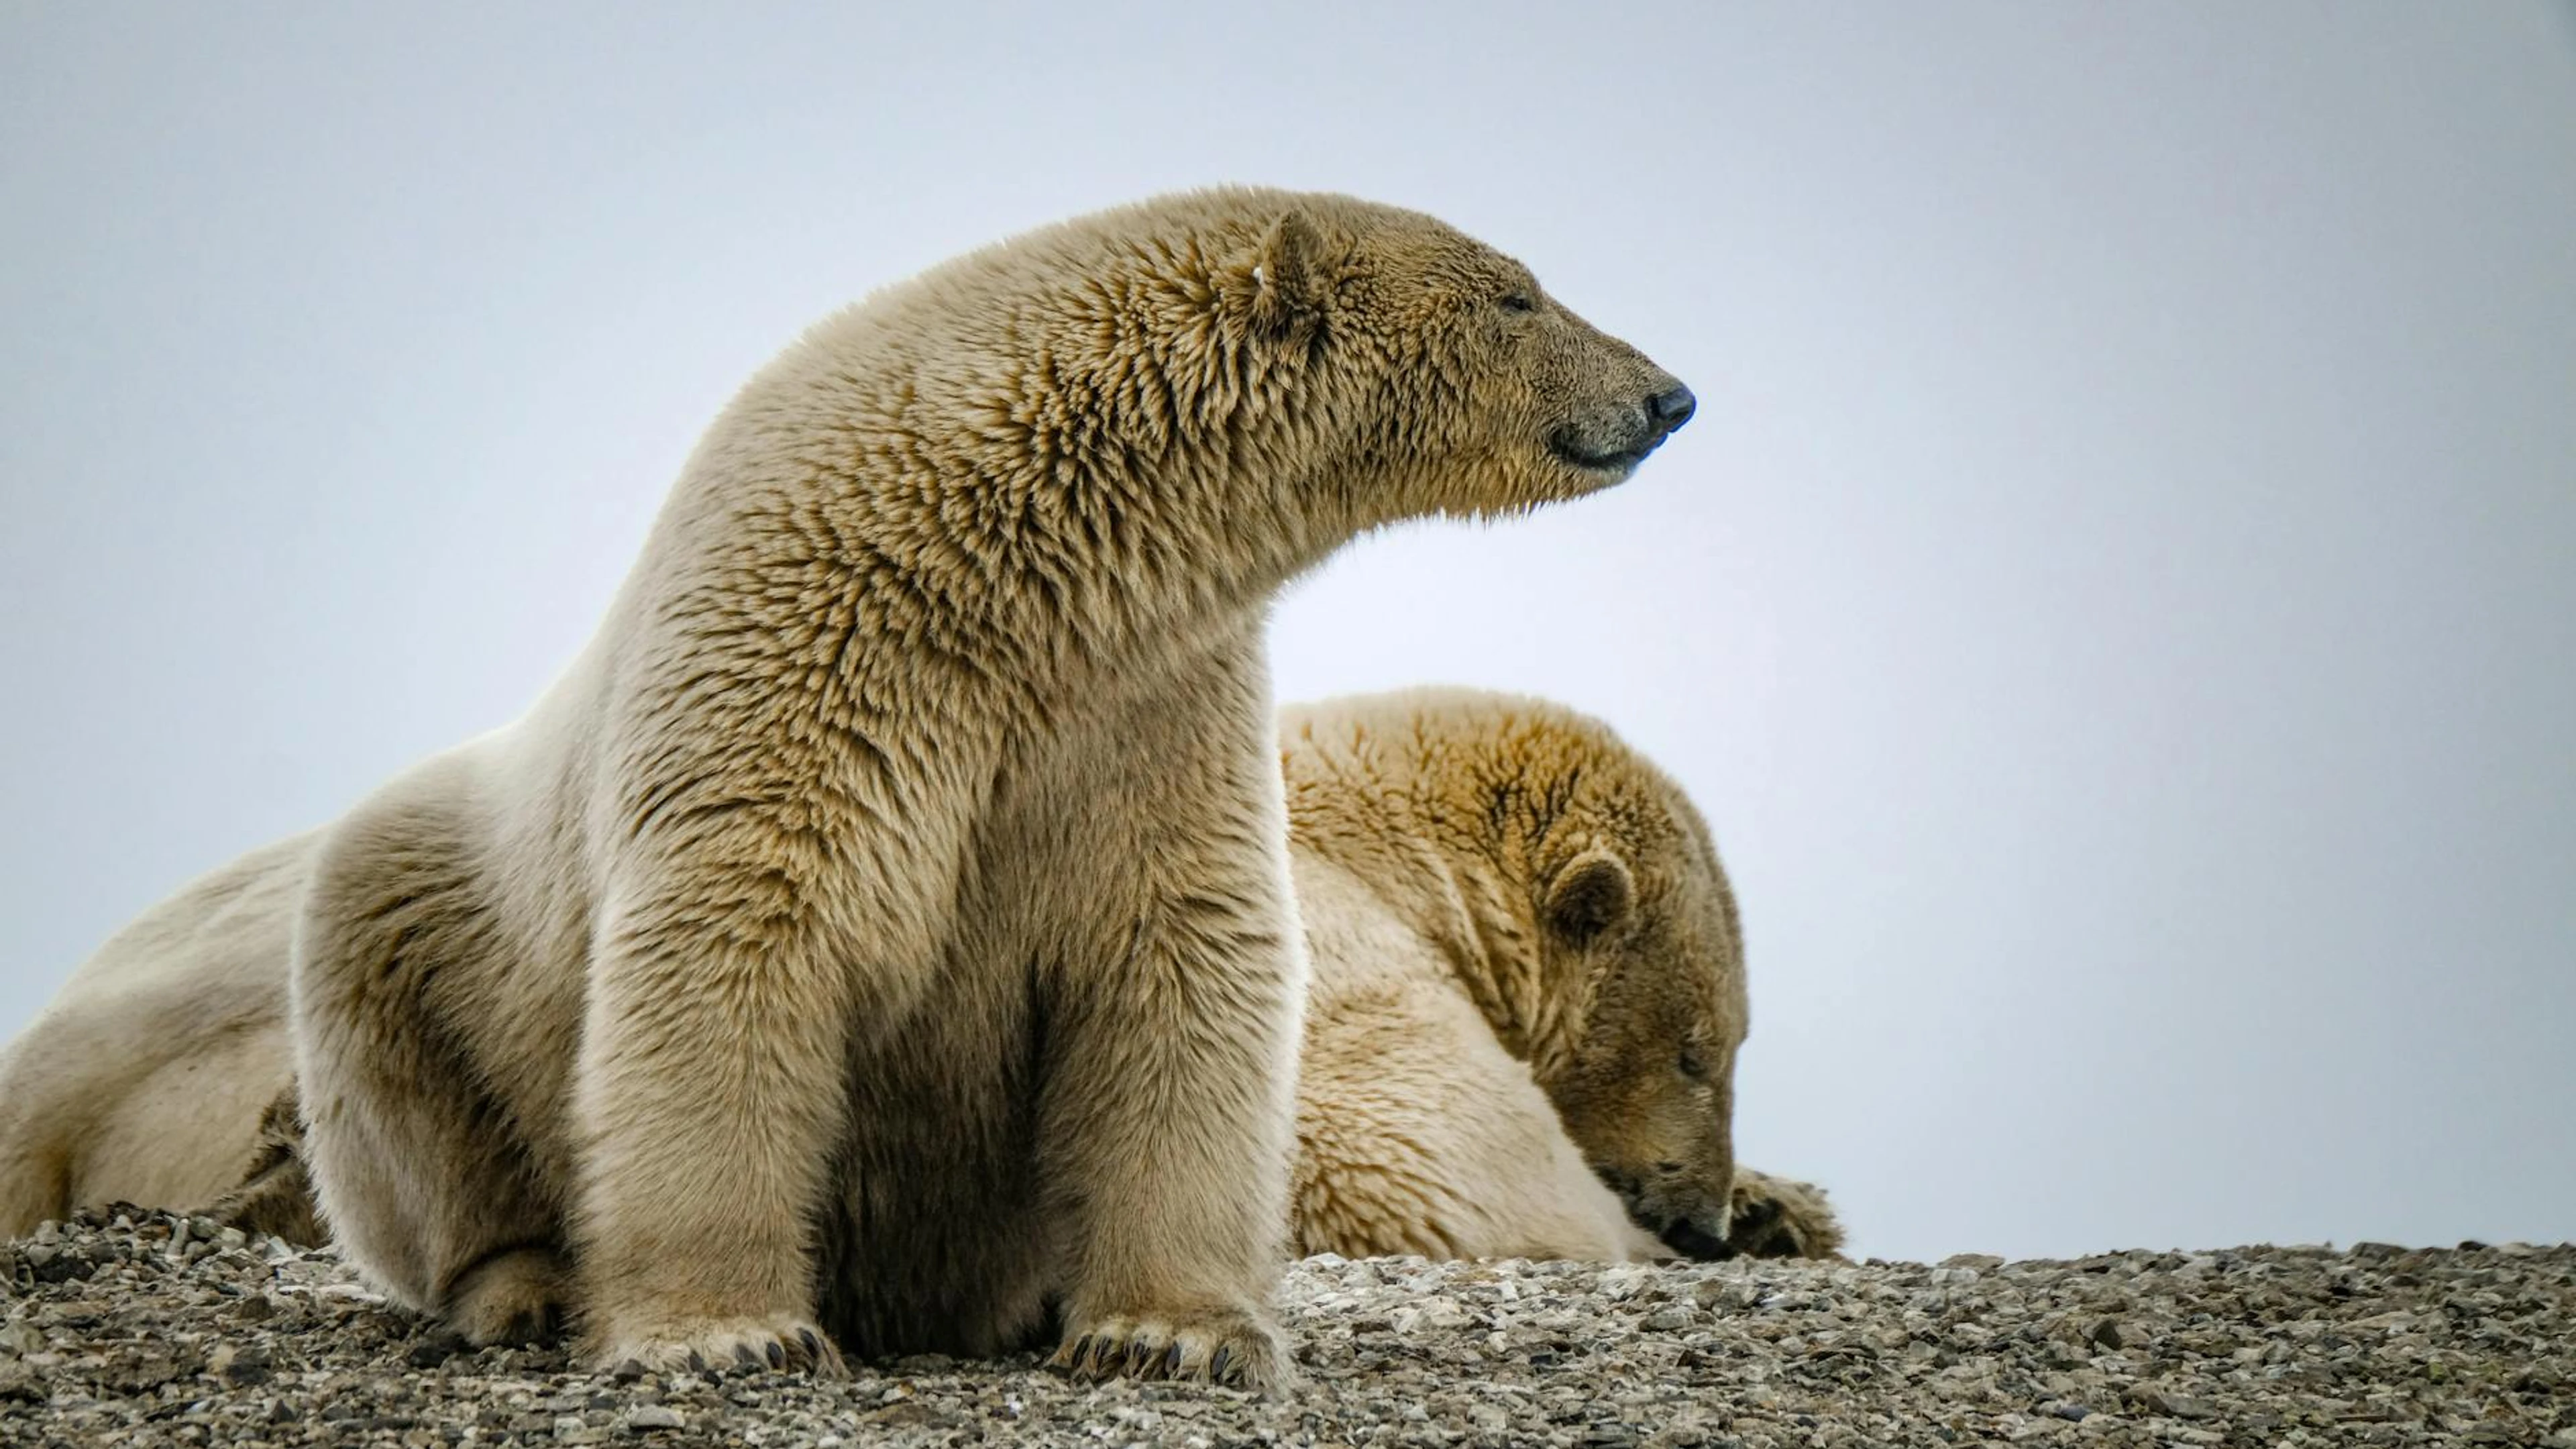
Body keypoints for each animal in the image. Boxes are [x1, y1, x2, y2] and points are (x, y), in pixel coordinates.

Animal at [12, 188, 1696, 1388]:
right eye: (1516, 291)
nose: (1669, 393)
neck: (1021, 554)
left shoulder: (1140, 706)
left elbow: (1177, 955)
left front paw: (1169, 1329)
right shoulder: (805, 655)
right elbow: (739, 946)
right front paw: (728, 1329)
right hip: (421, 901)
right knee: (401, 1044)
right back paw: (529, 1282)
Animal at [1280, 688, 1843, 1266]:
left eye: (1734, 1045)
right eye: (1691, 1058)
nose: (1702, 1228)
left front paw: (1776, 1206)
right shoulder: (1340, 959)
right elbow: (1440, 1165)